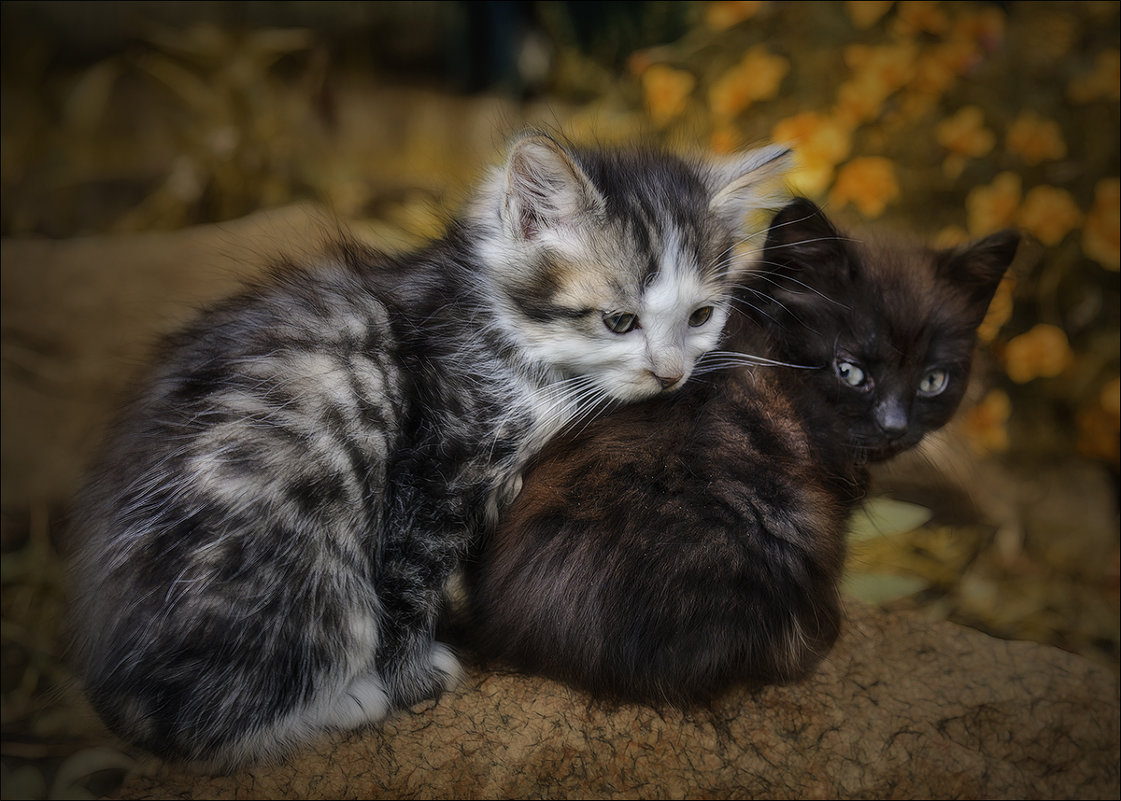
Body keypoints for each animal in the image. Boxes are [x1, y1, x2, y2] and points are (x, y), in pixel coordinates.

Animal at [65, 133, 793, 770]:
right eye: (619, 321)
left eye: (700, 316)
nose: (670, 374)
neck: (504, 334)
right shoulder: (438, 465)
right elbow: (409, 576)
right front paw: (411, 675)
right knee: (198, 724)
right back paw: (341, 702)